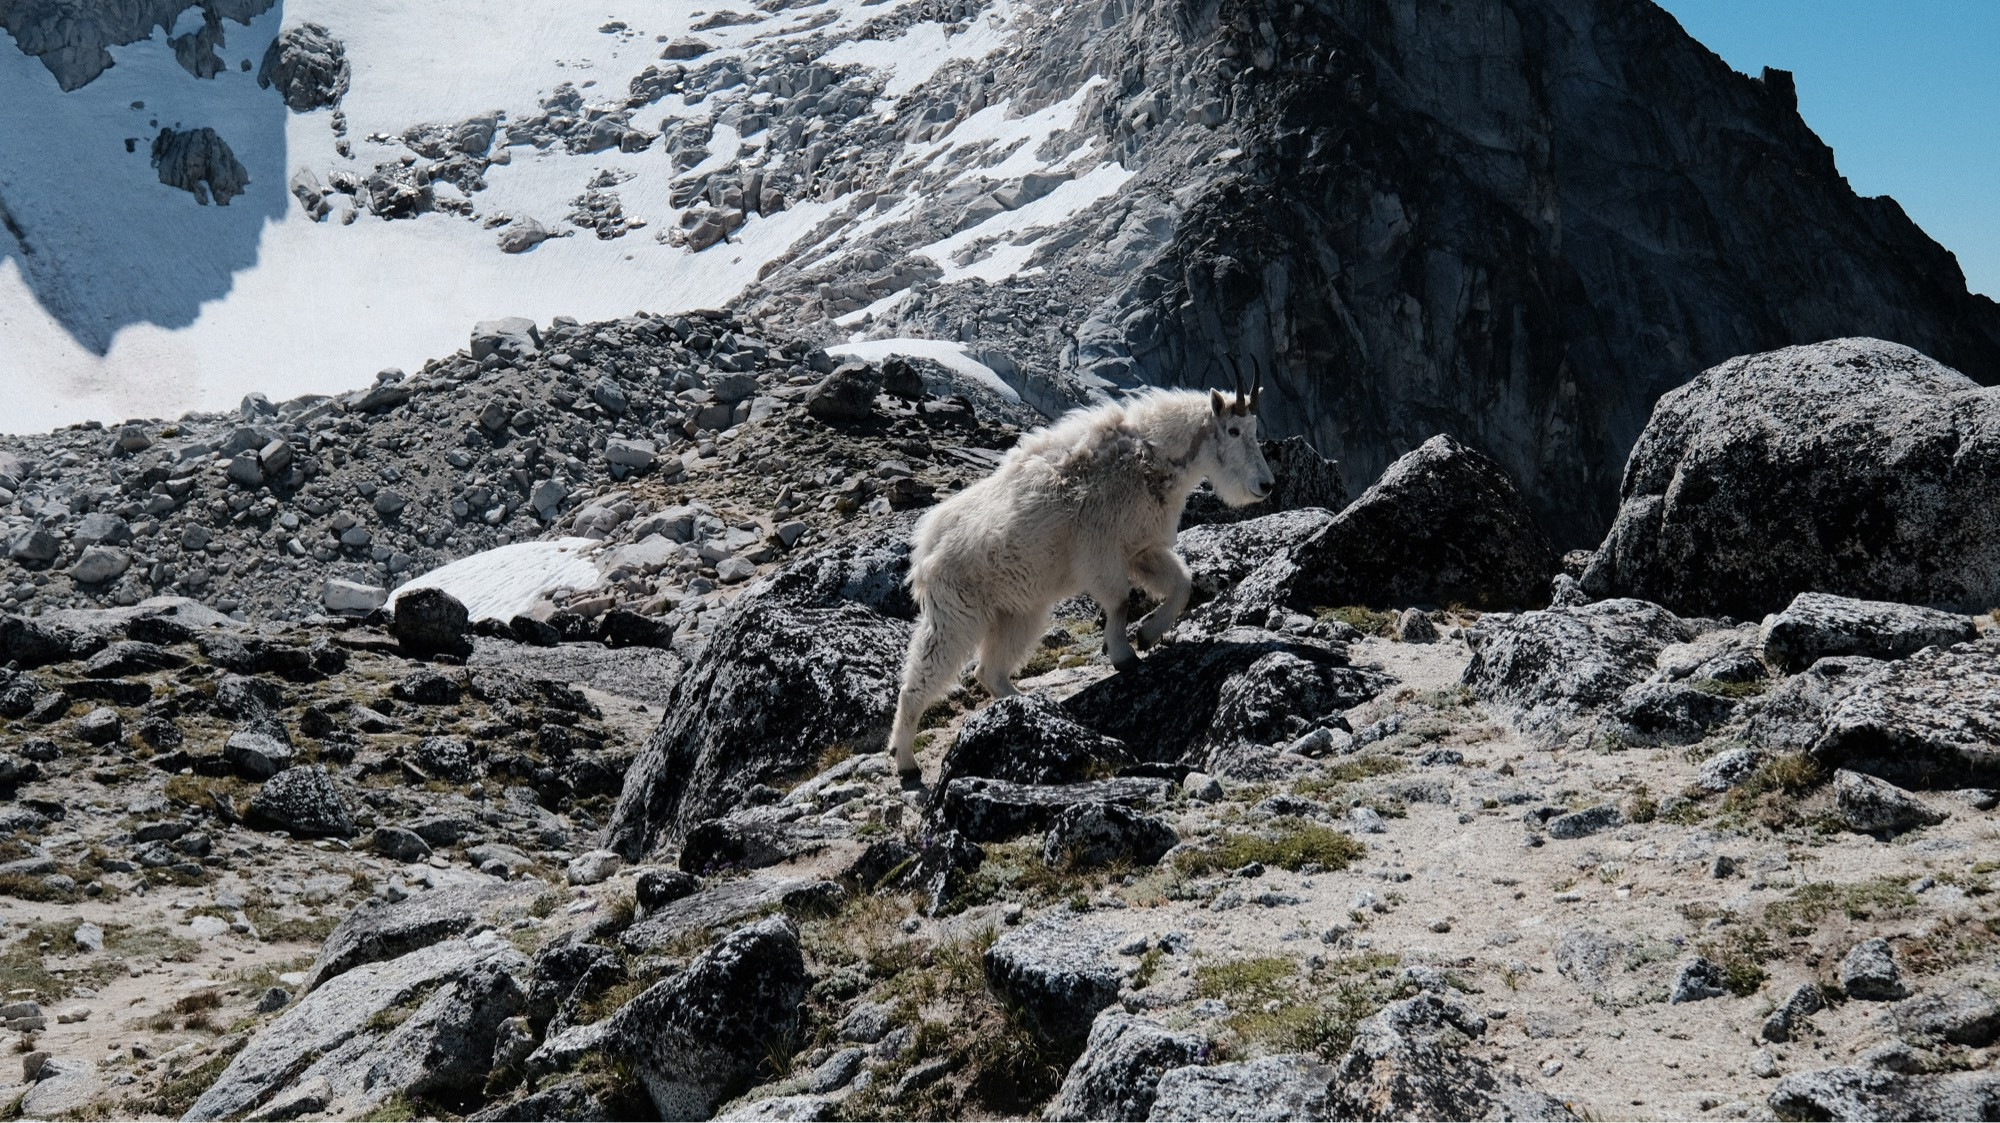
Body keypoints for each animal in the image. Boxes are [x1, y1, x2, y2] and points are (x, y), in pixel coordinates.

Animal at [884, 367, 1272, 767]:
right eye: (1234, 430)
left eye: (1254, 428)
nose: (1266, 485)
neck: (1151, 457)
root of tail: (924, 551)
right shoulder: (1101, 554)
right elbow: (1120, 601)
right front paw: (1124, 655)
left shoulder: (1142, 549)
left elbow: (1182, 584)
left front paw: (1148, 634)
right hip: (956, 613)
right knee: (920, 679)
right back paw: (905, 758)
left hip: (1017, 612)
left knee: (988, 670)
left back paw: (1030, 705)